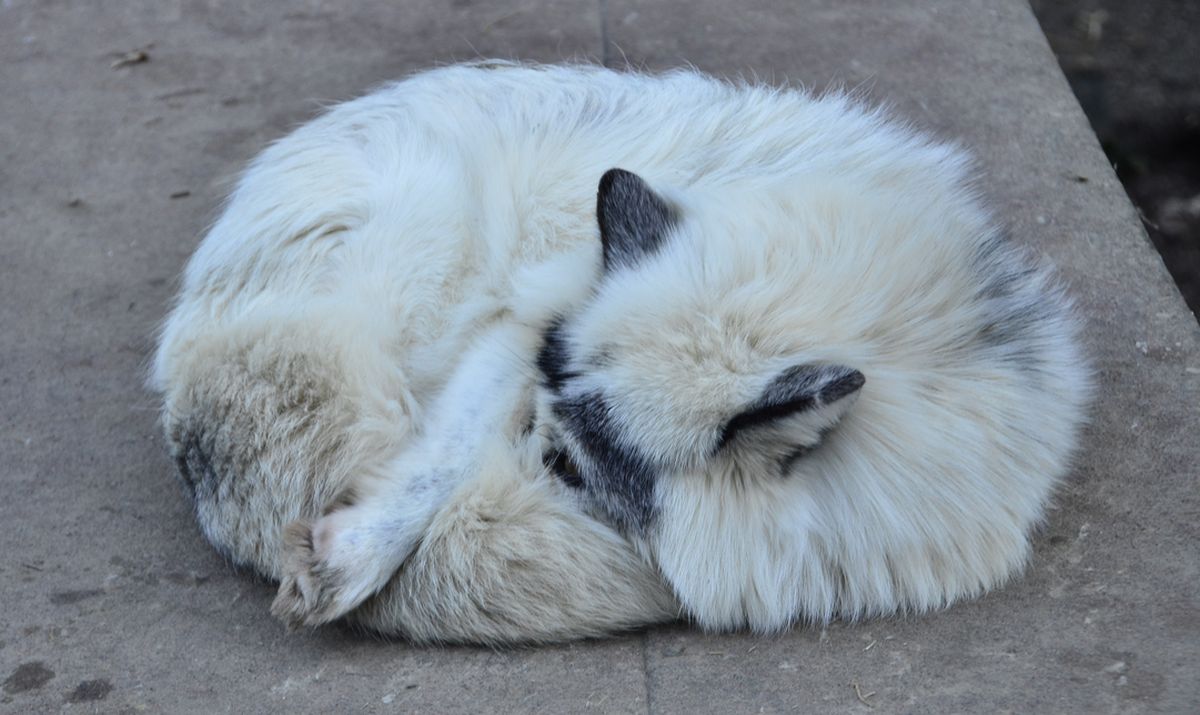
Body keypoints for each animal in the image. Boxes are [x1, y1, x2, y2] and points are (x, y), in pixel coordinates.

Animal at [150, 59, 1089, 643]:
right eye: (551, 446)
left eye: (569, 467)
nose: (526, 450)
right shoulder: (524, 323)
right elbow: (439, 461)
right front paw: (352, 556)